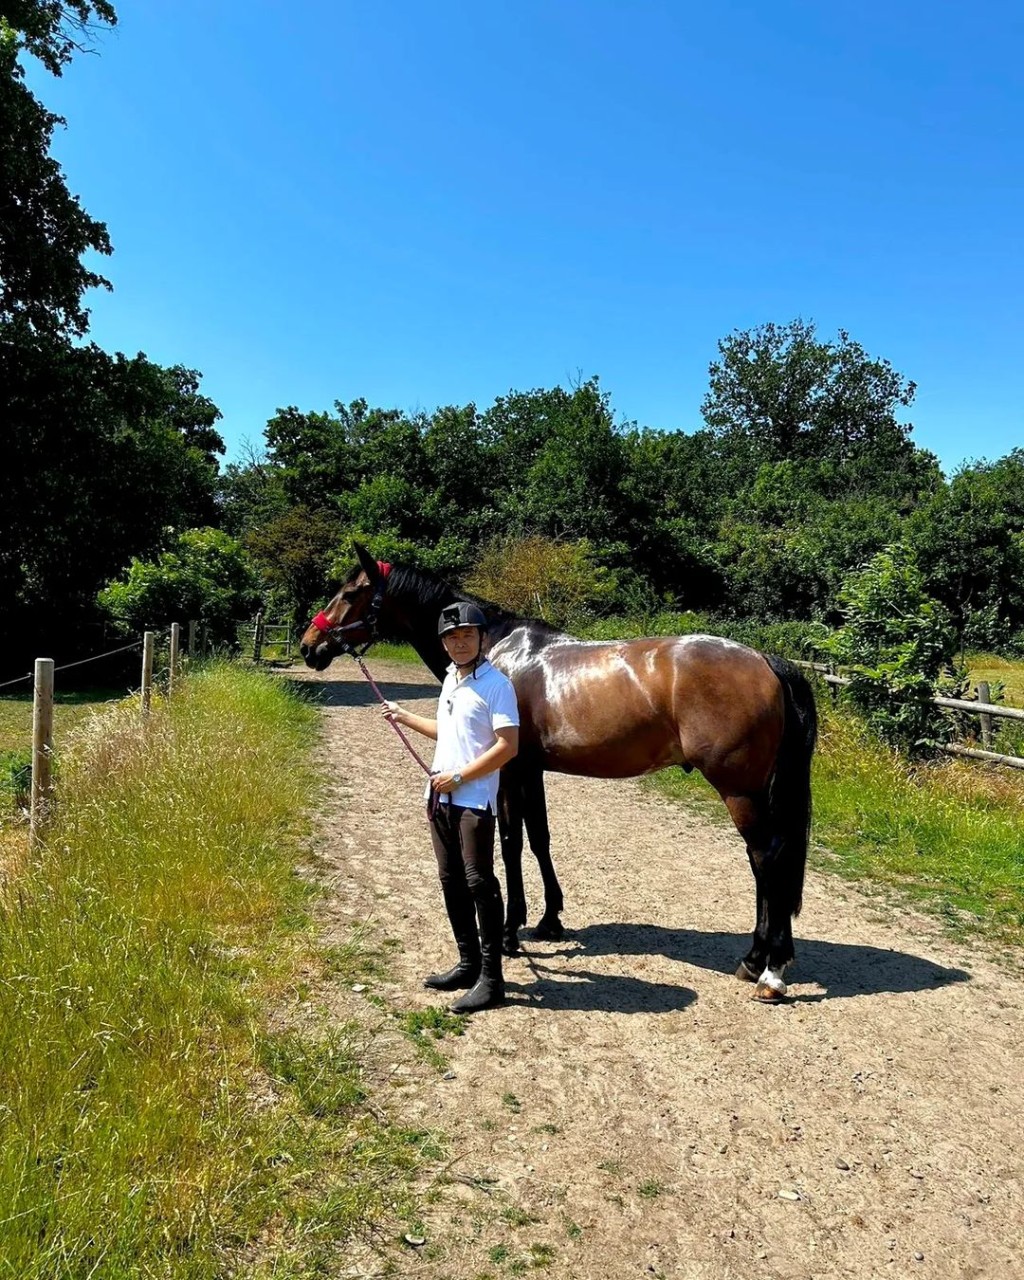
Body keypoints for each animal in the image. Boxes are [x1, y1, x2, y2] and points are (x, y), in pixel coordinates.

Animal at [295, 540, 814, 998]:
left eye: (350, 593)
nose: (308, 645)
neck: (496, 650)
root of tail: (765, 660)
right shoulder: (533, 770)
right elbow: (539, 837)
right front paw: (549, 919)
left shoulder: (508, 771)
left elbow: (509, 842)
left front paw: (509, 931)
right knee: (765, 860)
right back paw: (759, 957)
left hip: (739, 789)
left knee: (767, 858)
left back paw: (768, 967)